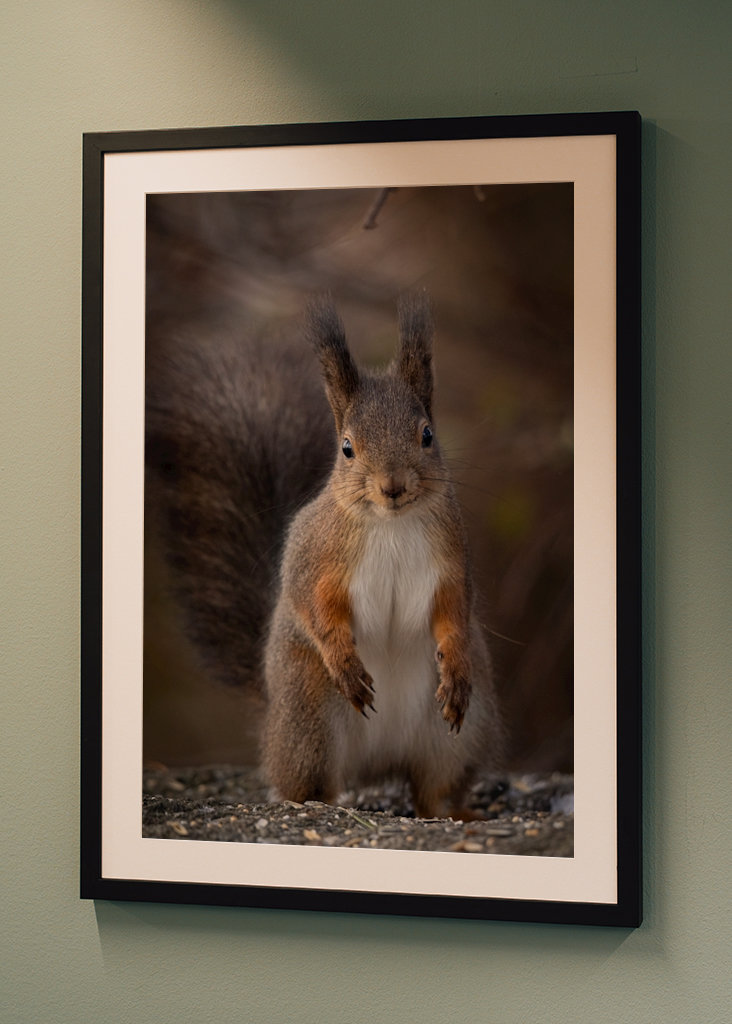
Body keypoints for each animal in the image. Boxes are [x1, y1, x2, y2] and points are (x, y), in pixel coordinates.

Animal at [263, 294, 503, 818]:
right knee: (310, 780)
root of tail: (378, 762)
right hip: (309, 719)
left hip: (458, 735)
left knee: (434, 786)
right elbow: (314, 607)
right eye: (347, 448)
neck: (391, 524)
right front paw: (345, 662)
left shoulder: (451, 563)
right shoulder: (316, 558)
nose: (392, 486)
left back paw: (454, 811)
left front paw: (455, 667)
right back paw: (317, 802)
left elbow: (455, 612)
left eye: (428, 435)